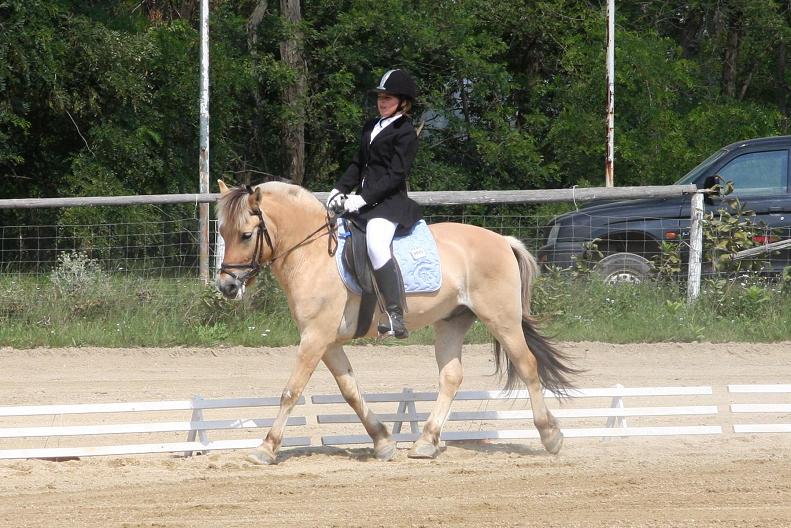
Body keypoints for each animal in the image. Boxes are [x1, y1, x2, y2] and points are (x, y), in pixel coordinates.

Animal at [215, 180, 578, 464]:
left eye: (246, 235)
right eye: (221, 232)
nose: (227, 286)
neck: (314, 254)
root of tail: (503, 240)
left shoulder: (315, 337)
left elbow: (291, 391)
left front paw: (266, 448)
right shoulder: (327, 342)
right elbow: (350, 391)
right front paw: (383, 442)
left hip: (501, 318)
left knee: (527, 365)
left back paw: (550, 436)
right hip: (451, 322)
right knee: (451, 377)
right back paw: (425, 442)